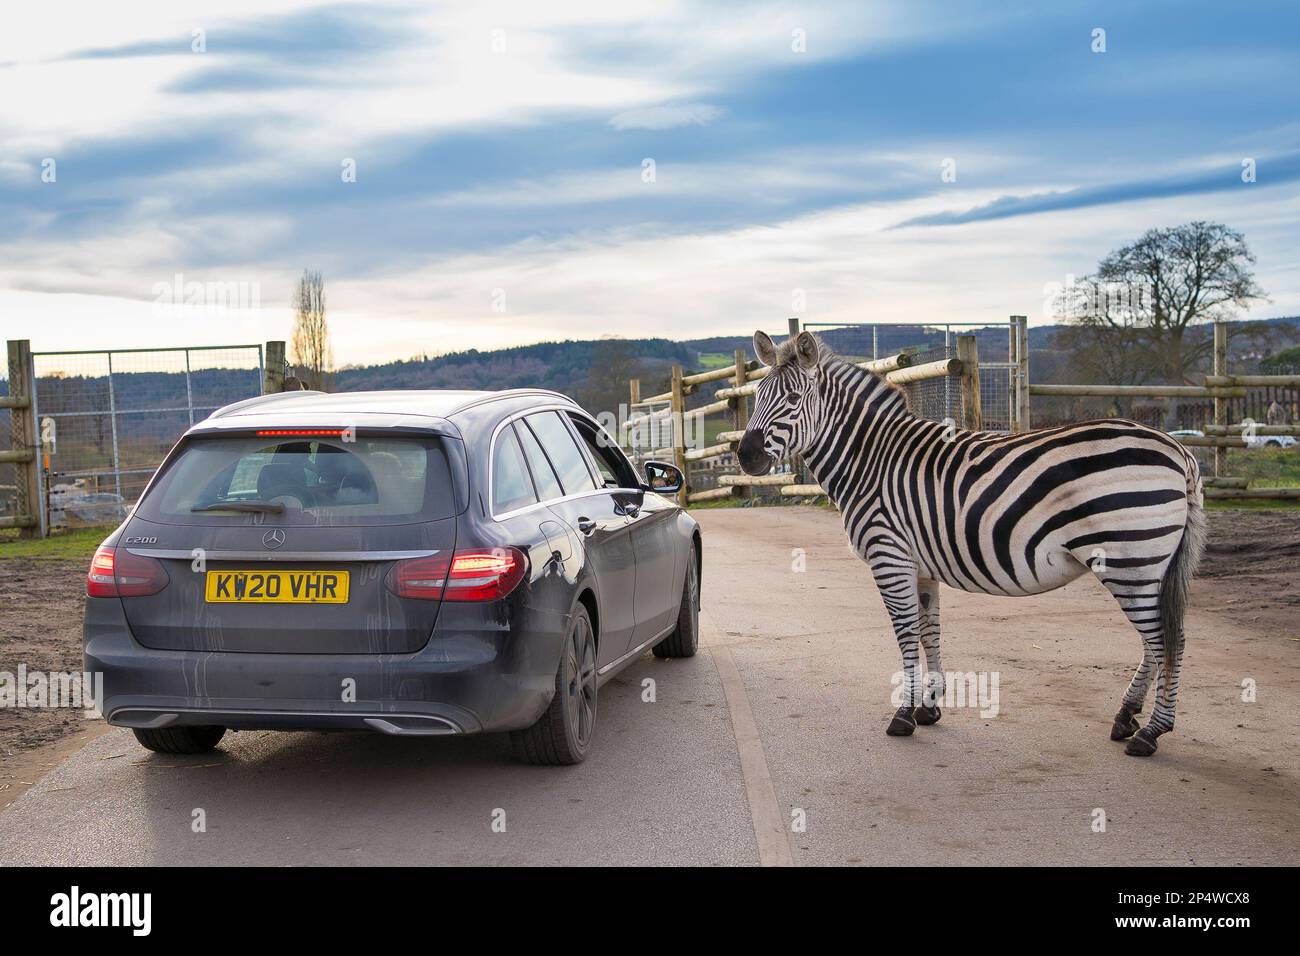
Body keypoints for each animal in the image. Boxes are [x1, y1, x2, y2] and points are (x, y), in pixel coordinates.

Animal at [737, 330, 1206, 757]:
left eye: (793, 399)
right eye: (756, 397)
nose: (745, 456)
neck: (869, 460)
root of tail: (1179, 450)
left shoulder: (889, 555)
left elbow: (905, 632)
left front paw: (903, 714)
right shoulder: (919, 564)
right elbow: (929, 630)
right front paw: (928, 705)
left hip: (1131, 559)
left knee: (1169, 640)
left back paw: (1151, 732)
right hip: (1144, 564)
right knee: (1158, 641)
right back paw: (1126, 718)